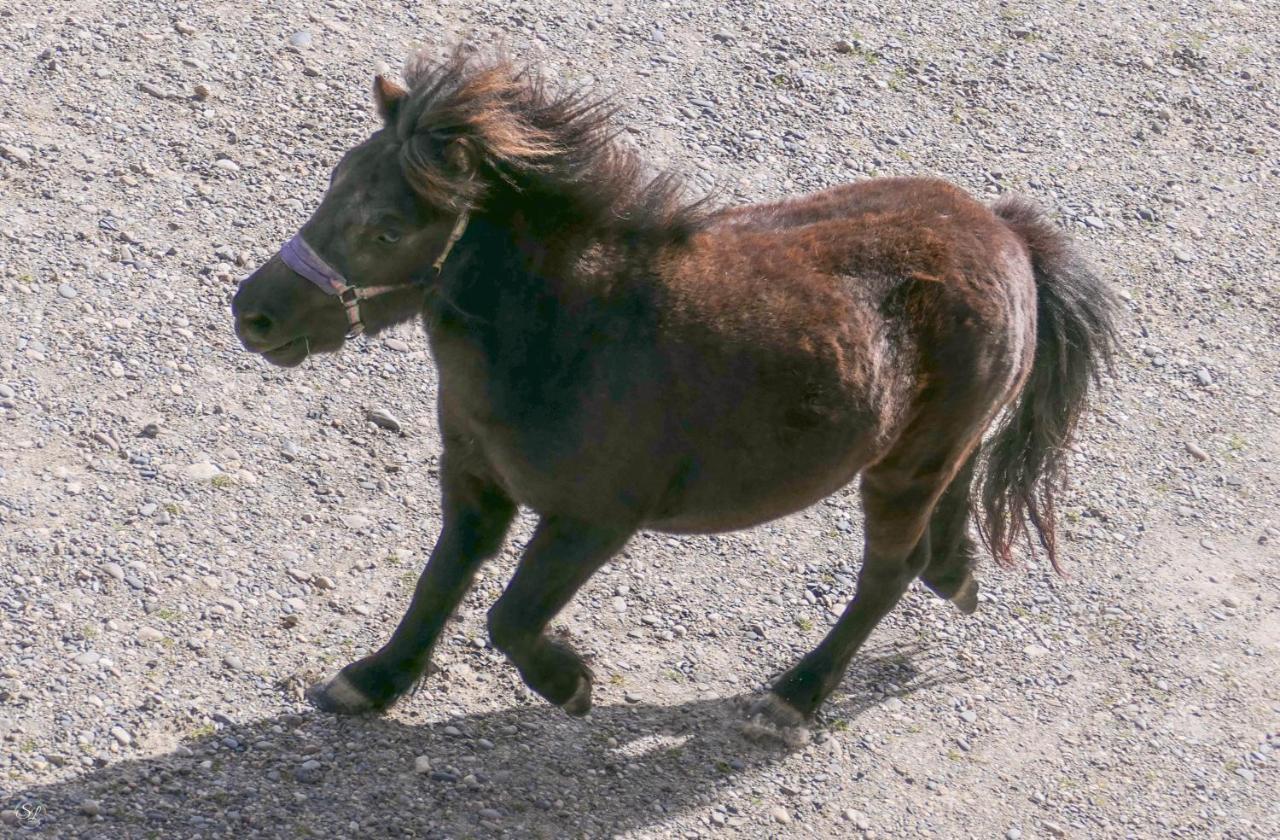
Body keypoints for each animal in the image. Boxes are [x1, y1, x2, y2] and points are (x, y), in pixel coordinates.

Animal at [235, 49, 1116, 737]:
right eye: (336, 180)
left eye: (387, 228)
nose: (253, 313)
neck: (567, 332)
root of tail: (1007, 232)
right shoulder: (476, 483)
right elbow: (440, 582)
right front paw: (374, 679)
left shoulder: (594, 519)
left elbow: (510, 616)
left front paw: (571, 684)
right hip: (934, 445)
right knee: (947, 519)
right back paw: (956, 575)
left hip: (900, 473)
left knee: (888, 572)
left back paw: (796, 698)